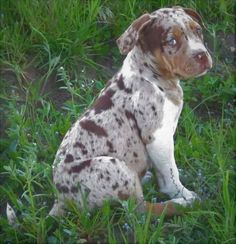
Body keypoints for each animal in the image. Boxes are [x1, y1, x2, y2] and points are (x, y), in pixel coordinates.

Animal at [6, 6, 212, 223]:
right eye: (171, 41)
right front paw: (183, 193)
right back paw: (186, 204)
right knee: (140, 210)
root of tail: (60, 199)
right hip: (112, 166)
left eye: (198, 31)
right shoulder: (157, 137)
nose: (202, 55)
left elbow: (166, 169)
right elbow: (170, 174)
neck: (151, 76)